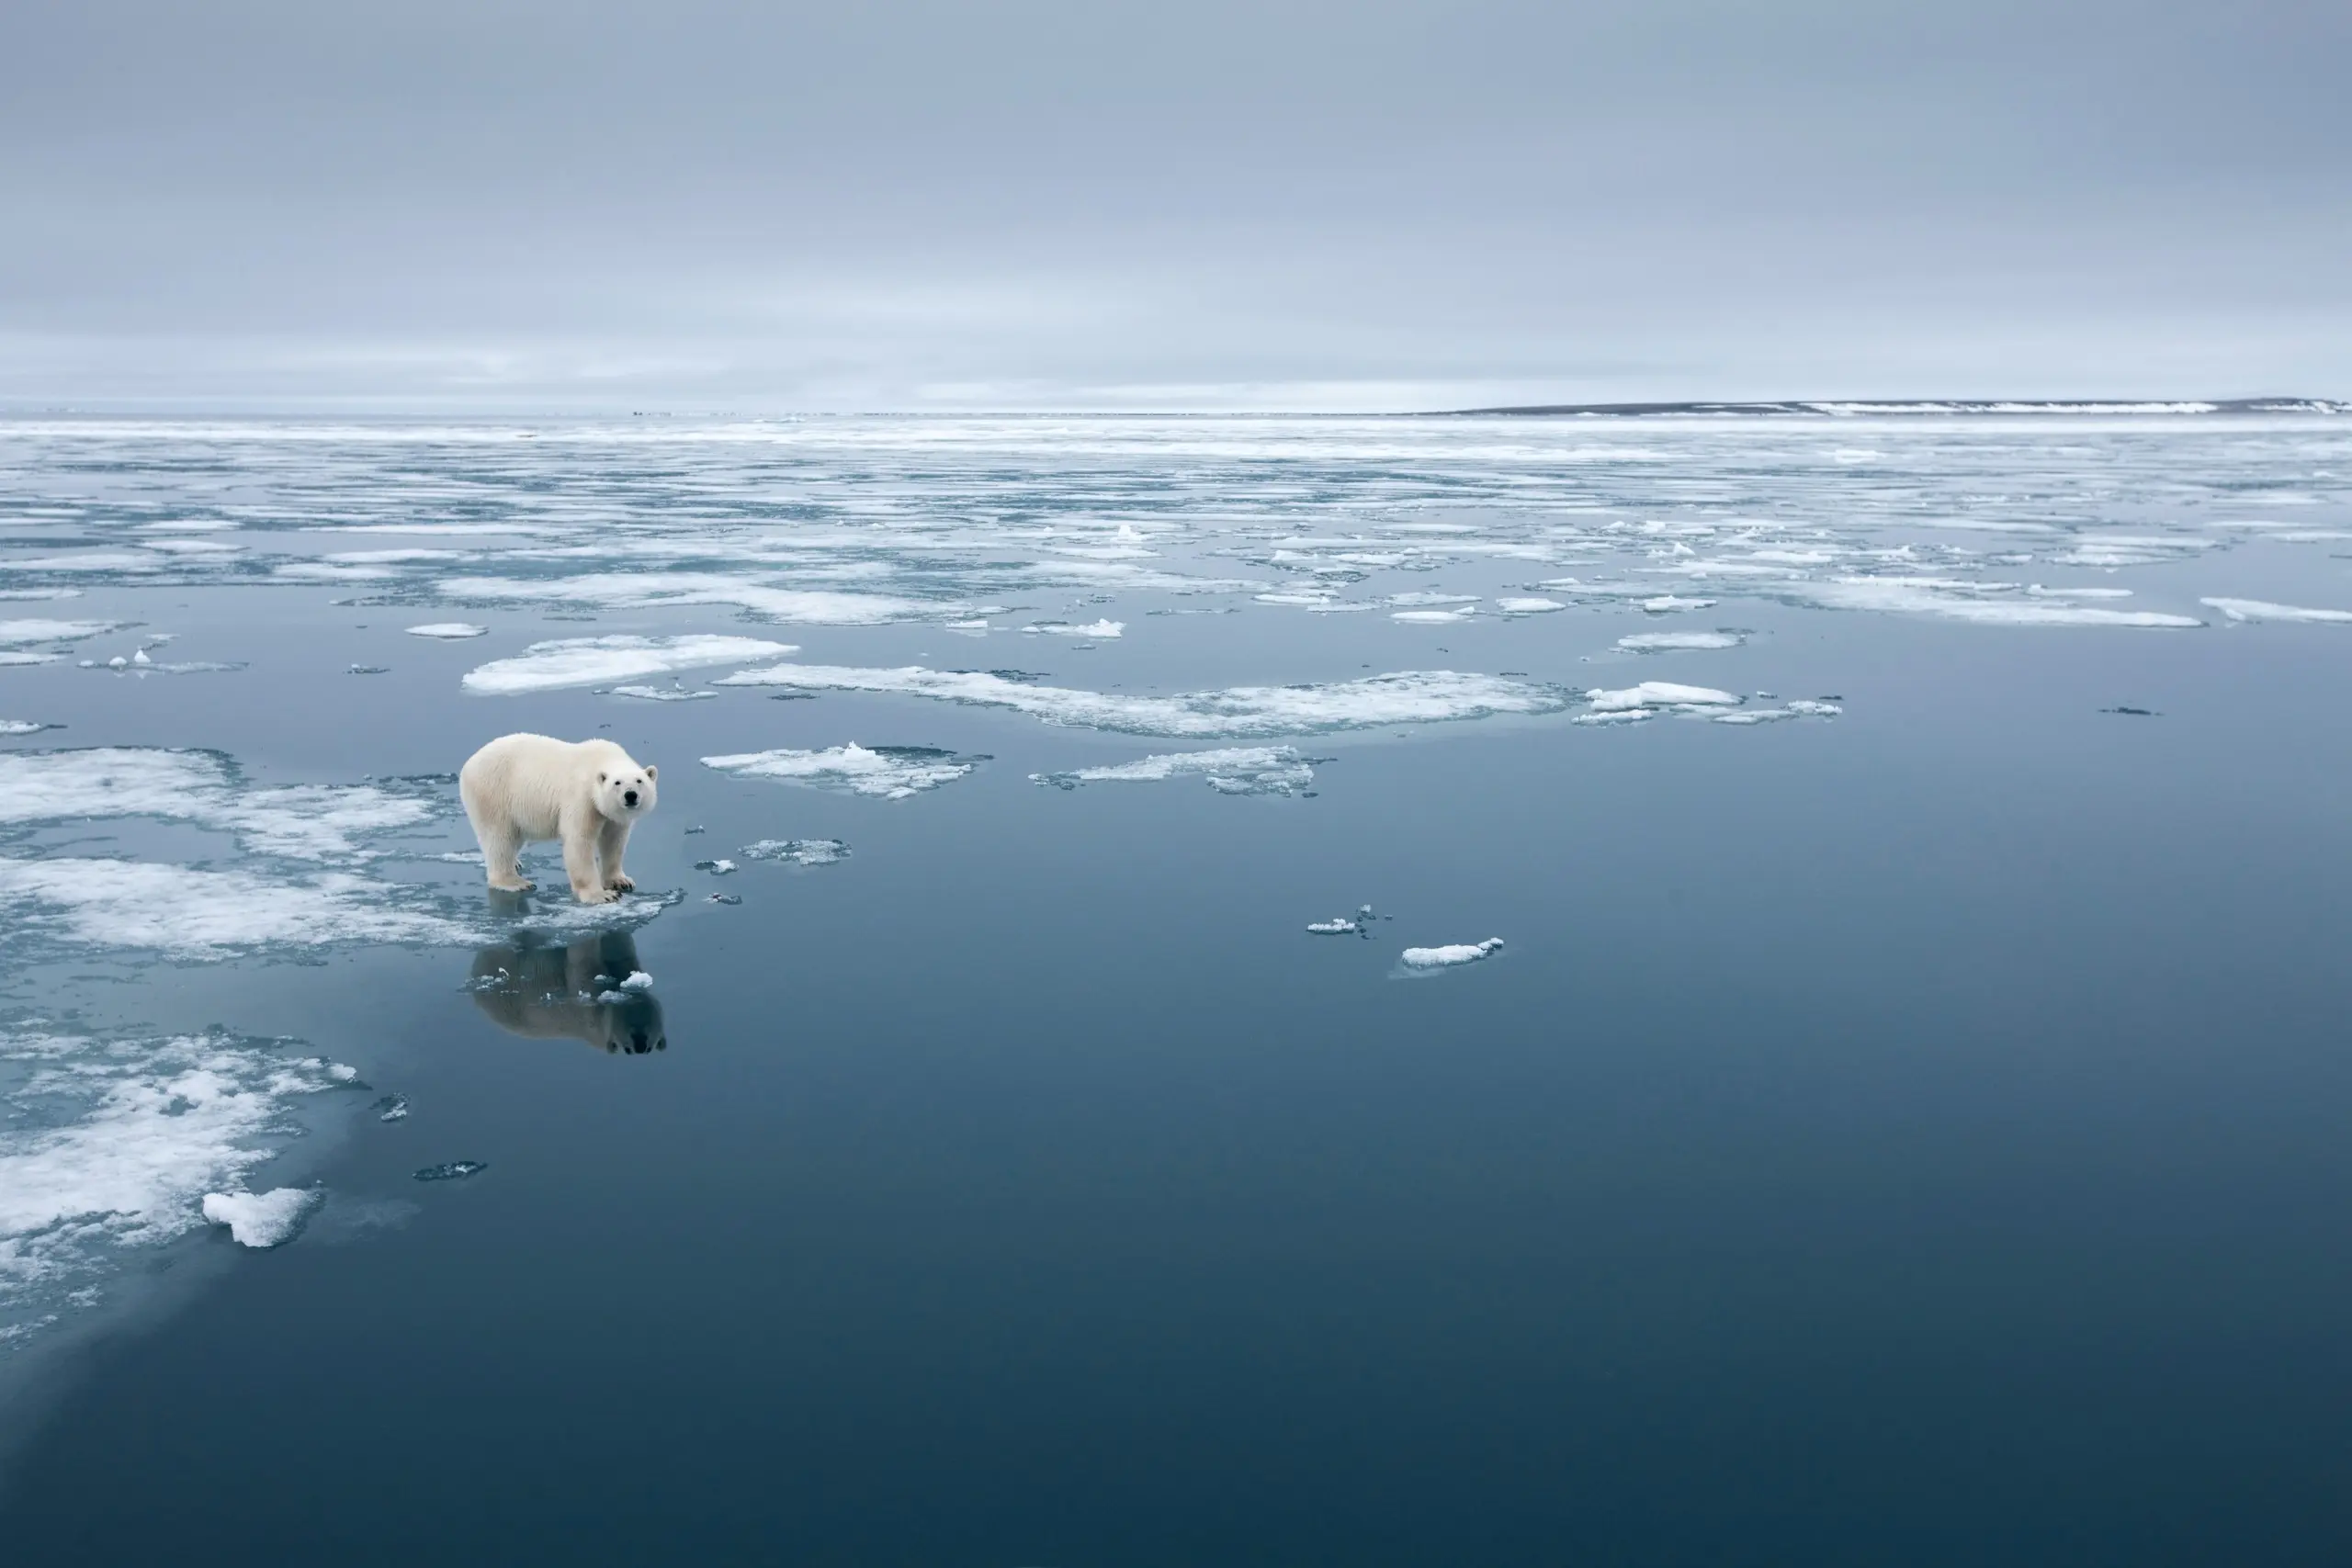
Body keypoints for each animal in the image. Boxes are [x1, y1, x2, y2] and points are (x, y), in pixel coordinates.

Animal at [459, 733, 657, 904]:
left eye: (639, 781)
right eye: (617, 783)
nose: (630, 795)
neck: (601, 758)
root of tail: (468, 763)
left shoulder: (611, 815)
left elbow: (614, 841)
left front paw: (621, 881)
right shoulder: (582, 797)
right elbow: (579, 842)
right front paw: (602, 895)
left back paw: (515, 863)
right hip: (493, 793)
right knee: (500, 837)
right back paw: (514, 882)